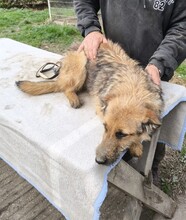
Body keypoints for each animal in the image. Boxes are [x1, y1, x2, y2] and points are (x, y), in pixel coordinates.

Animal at [16, 39, 164, 164]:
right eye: (105, 127)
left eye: (122, 134)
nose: (98, 161)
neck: (133, 90)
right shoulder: (101, 107)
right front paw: (136, 144)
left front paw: (136, 144)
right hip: (81, 63)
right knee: (65, 88)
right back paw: (73, 97)